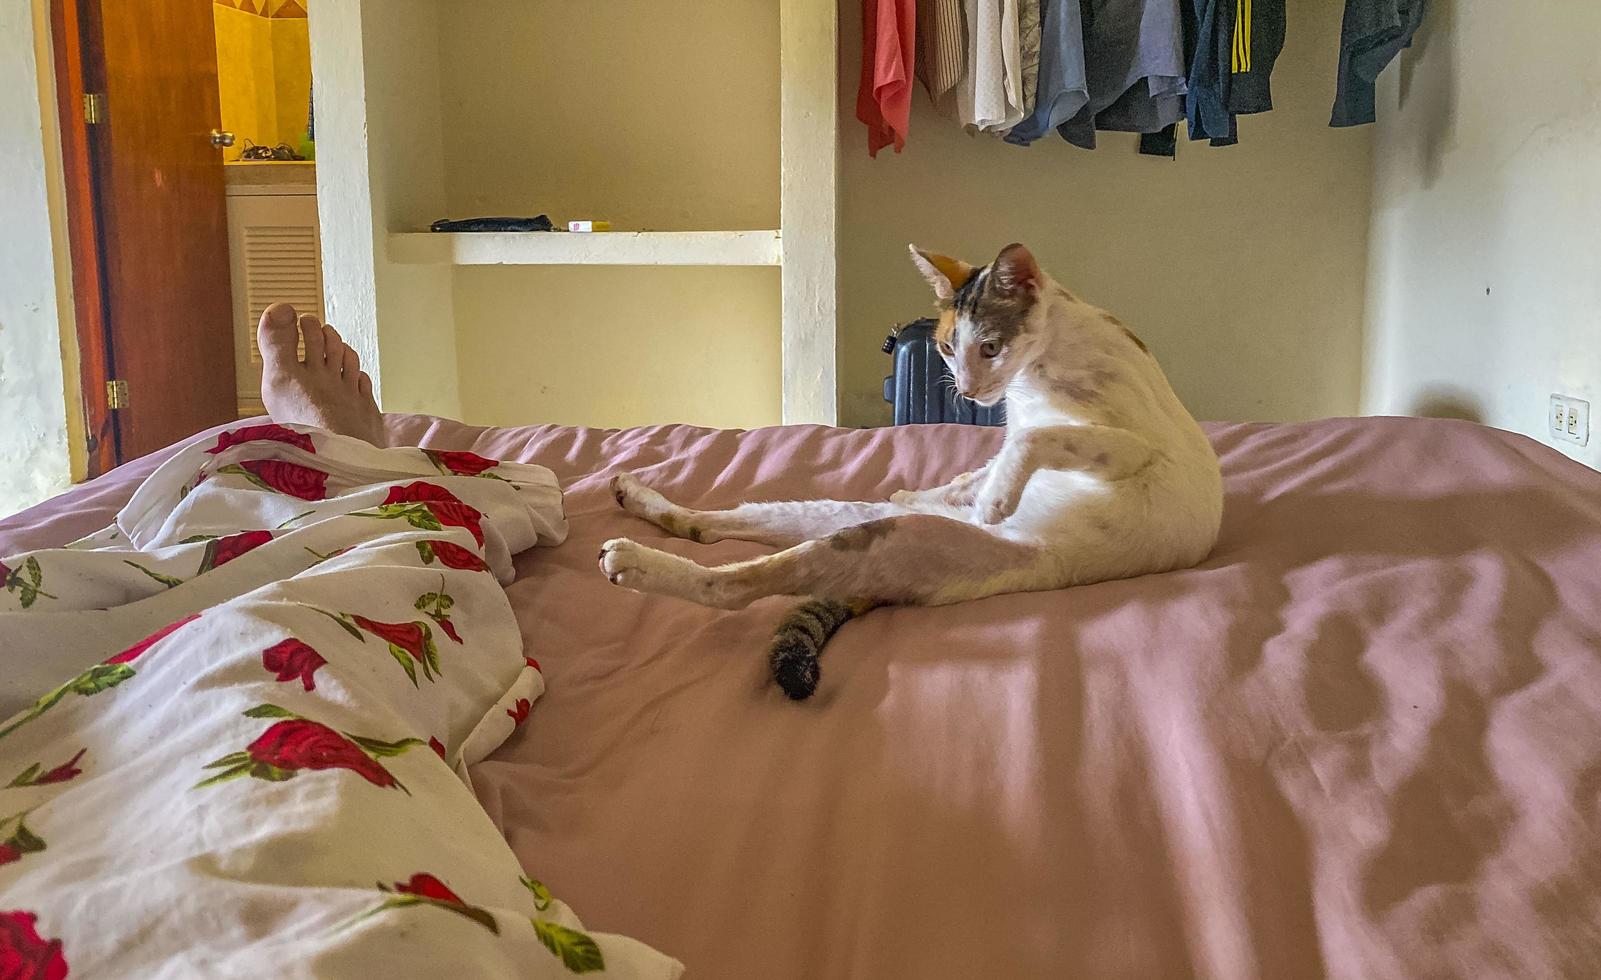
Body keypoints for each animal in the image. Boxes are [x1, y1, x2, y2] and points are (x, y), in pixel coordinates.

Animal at [601, 246, 1223, 704]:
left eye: (990, 348)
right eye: (947, 346)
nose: (967, 391)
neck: (1035, 375)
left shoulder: (1134, 447)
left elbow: (1031, 440)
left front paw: (997, 499)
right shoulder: (1012, 430)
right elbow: (989, 460)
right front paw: (966, 488)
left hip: (893, 539)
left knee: (730, 585)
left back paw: (632, 560)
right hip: (846, 516)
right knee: (710, 528)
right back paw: (636, 498)